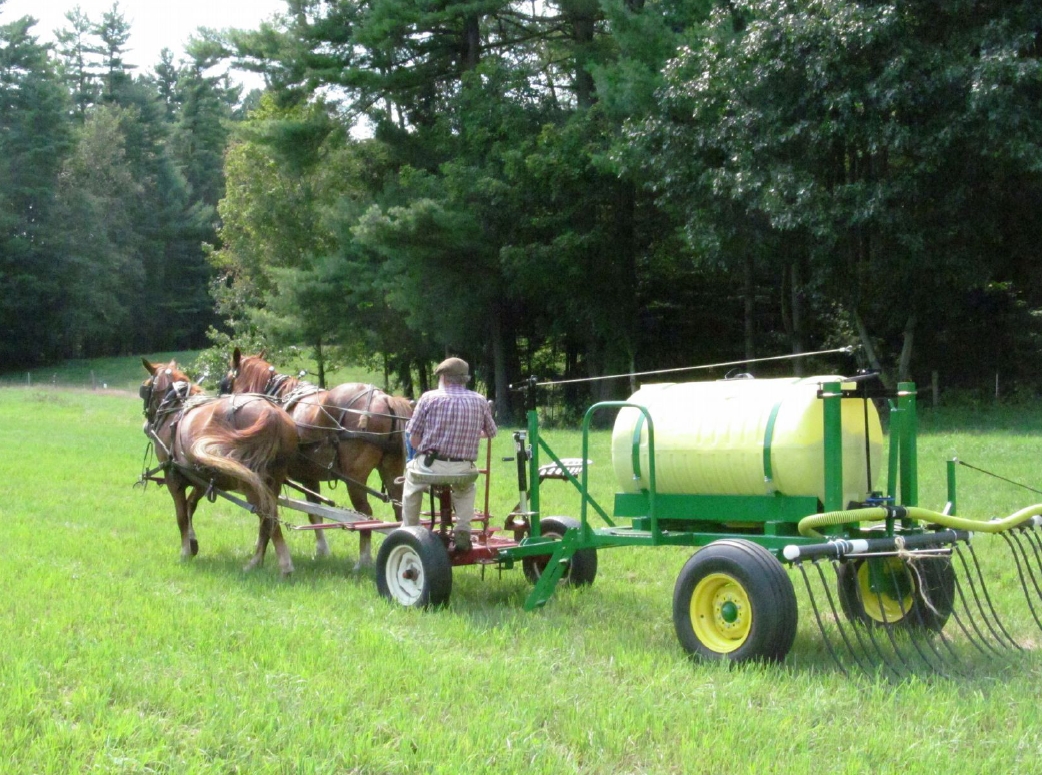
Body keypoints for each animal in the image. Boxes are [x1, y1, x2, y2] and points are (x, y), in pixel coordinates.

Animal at [140, 359, 301, 576]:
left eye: (145, 387)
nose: (146, 425)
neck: (175, 410)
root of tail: (270, 412)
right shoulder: (201, 478)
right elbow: (191, 506)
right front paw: (193, 543)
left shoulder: (173, 476)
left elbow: (181, 515)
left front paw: (185, 551)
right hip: (272, 480)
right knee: (267, 518)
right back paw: (257, 560)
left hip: (250, 482)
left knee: (268, 515)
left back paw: (283, 564)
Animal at [219, 349, 413, 571]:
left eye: (226, 380)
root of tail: (386, 399)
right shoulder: (309, 478)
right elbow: (315, 513)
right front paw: (322, 550)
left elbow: (270, 512)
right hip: (391, 469)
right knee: (399, 509)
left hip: (355, 479)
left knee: (365, 513)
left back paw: (363, 560)